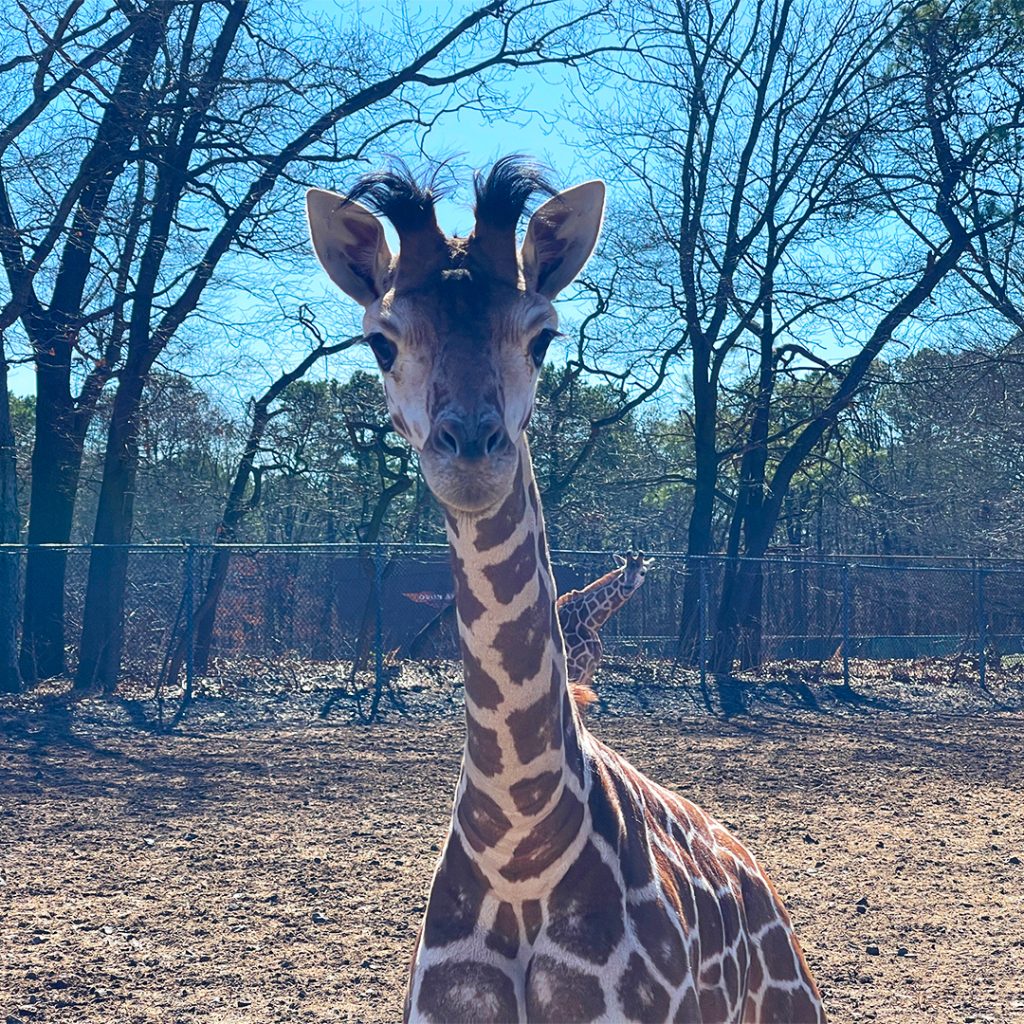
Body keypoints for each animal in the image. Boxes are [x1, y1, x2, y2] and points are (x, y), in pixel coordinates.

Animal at [561, 548, 655, 692]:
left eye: (642, 572)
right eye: (623, 571)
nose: (627, 587)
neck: (588, 622)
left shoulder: (588, 673)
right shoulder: (575, 670)